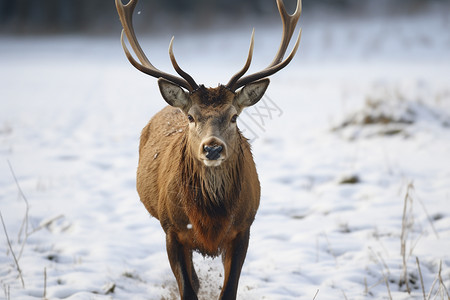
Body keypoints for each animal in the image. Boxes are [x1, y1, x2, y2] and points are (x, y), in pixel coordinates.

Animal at [114, 1, 300, 298]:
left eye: (234, 116)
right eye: (191, 117)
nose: (212, 149)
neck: (210, 219)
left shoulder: (243, 228)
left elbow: (229, 290)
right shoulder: (172, 230)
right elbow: (188, 289)